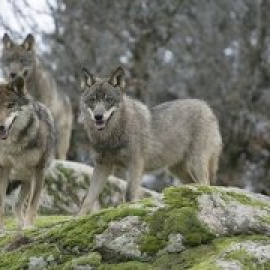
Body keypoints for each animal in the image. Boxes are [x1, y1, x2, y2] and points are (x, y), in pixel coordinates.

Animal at [0, 76, 55, 232]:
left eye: (10, 105)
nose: (0, 127)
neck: (14, 144)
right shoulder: (3, 168)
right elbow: (0, 202)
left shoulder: (39, 169)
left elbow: (33, 203)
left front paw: (28, 227)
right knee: (16, 205)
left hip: (28, 180)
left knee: (17, 205)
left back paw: (21, 225)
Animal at [77, 66, 221, 214]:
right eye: (92, 100)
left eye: (108, 100)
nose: (98, 116)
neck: (111, 135)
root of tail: (207, 107)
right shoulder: (102, 165)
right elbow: (88, 199)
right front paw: (79, 217)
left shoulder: (135, 164)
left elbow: (129, 194)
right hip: (177, 170)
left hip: (195, 164)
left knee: (206, 184)